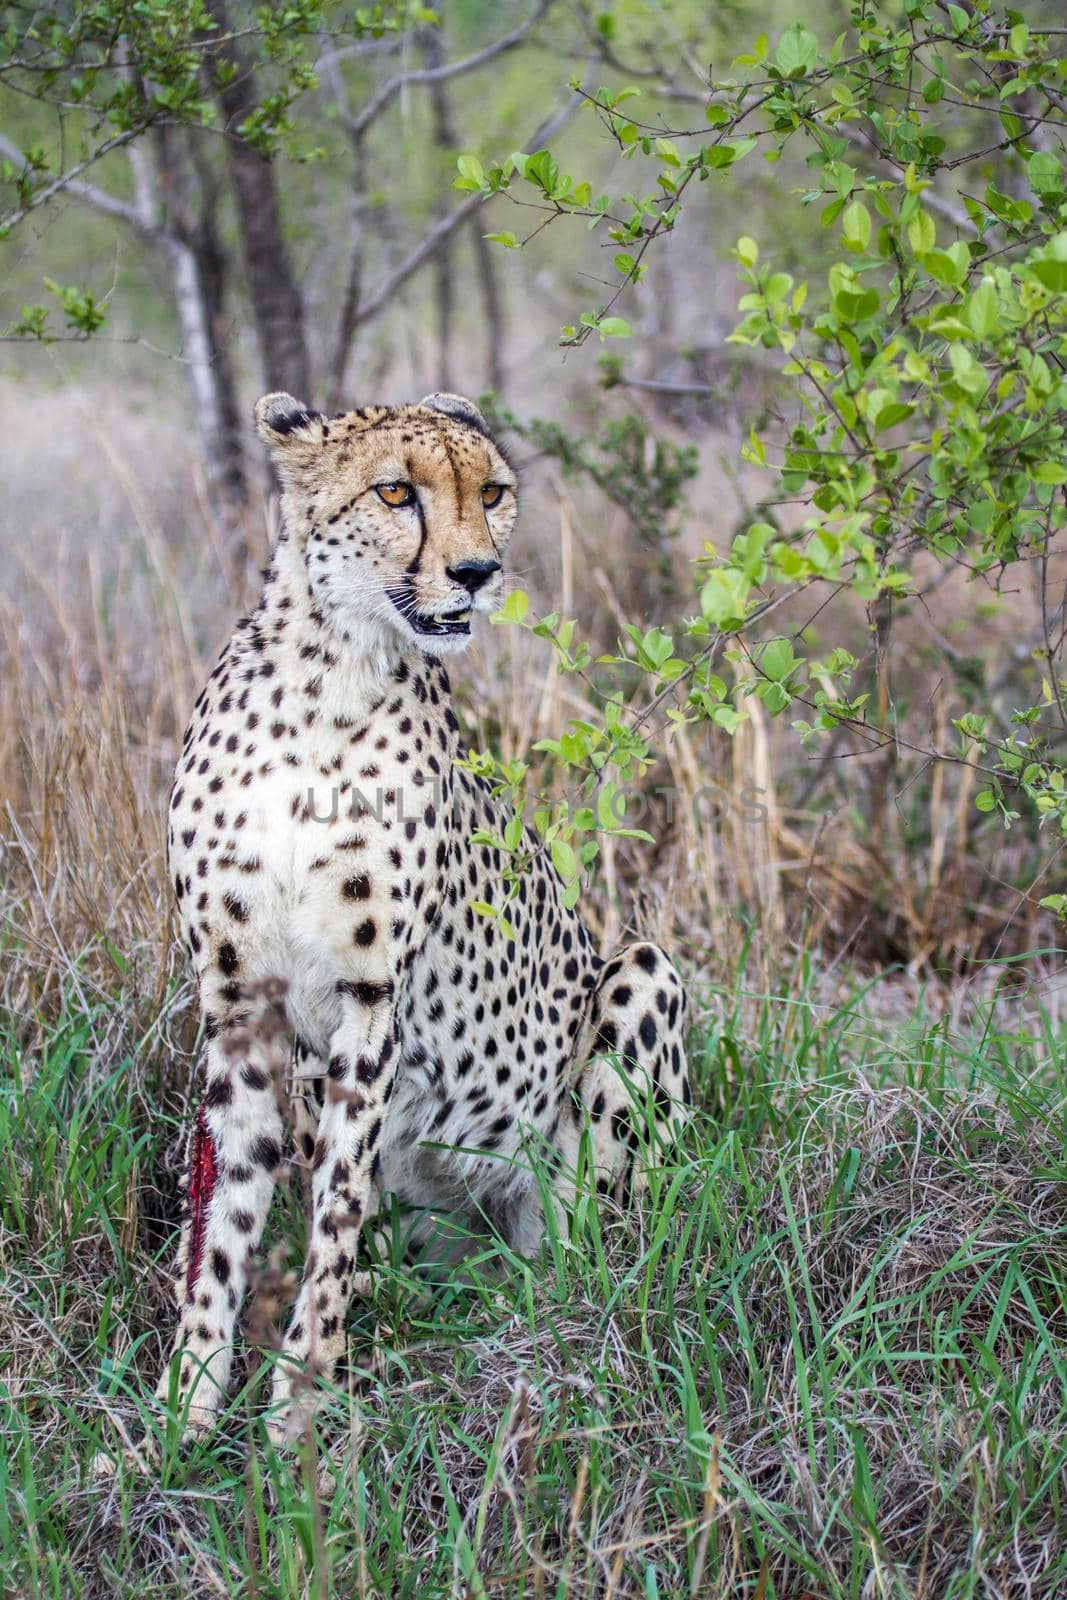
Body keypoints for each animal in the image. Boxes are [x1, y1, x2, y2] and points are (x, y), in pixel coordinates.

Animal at [158, 387, 694, 1440]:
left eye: (490, 492)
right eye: (395, 492)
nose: (477, 573)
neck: (321, 681)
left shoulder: (370, 1003)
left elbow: (330, 1220)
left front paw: (296, 1410)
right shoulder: (239, 1002)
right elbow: (226, 1224)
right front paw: (179, 1419)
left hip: (640, 984)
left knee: (590, 1259)